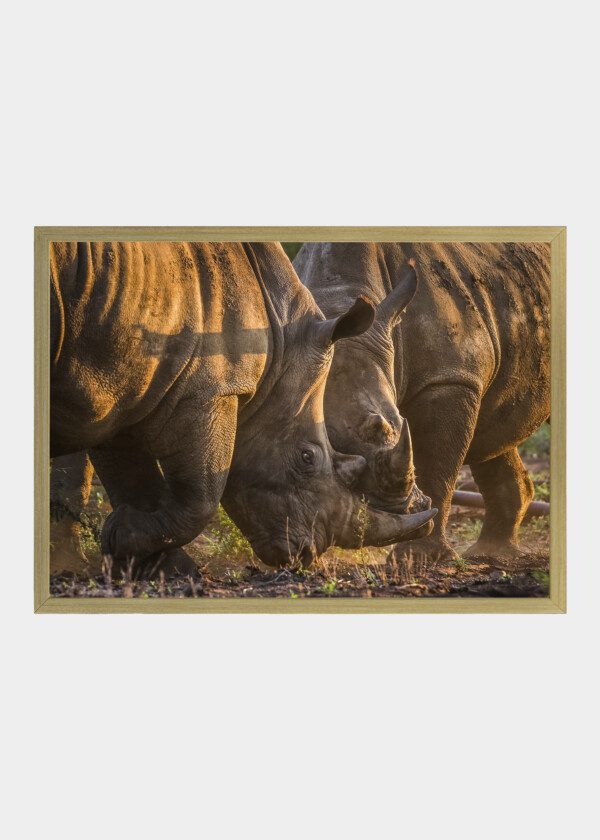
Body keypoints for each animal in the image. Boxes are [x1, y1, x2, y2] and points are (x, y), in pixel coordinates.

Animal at [51, 241, 436, 574]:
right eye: (307, 458)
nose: (305, 555)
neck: (280, 342)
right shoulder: (211, 389)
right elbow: (201, 497)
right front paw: (127, 544)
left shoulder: (121, 385)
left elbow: (132, 477)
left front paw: (147, 559)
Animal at [295, 242, 550, 561]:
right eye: (308, 455)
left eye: (387, 426)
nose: (393, 513)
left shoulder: (449, 378)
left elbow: (434, 462)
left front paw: (417, 557)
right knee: (492, 435)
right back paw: (492, 552)